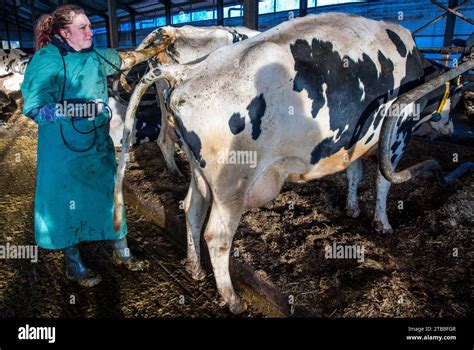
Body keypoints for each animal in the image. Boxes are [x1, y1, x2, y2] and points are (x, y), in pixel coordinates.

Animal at [115, 13, 474, 312]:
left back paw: (194, 268)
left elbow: (355, 173)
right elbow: (384, 182)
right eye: (456, 99)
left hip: (200, 171)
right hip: (233, 181)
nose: (452, 129)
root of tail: (192, 70)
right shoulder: (397, 132)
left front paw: (352, 207)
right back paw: (232, 299)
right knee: (216, 235)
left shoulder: (354, 140)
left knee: (190, 208)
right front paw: (382, 223)